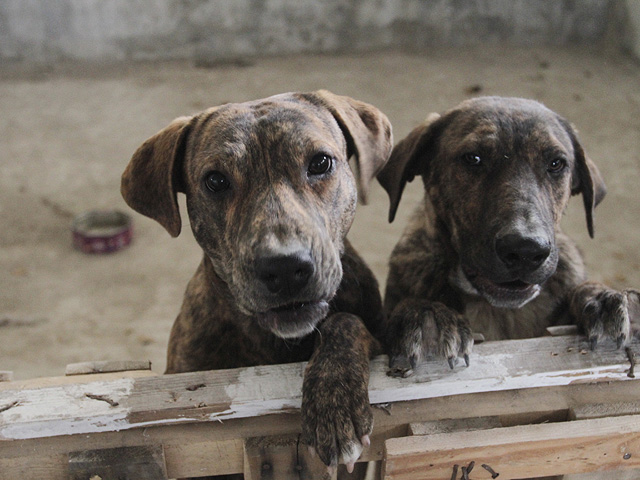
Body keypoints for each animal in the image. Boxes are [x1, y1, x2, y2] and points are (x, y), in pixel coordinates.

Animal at [378, 95, 636, 376]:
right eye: (473, 158)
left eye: (556, 163)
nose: (525, 251)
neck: (499, 311)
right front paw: (427, 315)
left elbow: (585, 288)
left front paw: (603, 298)